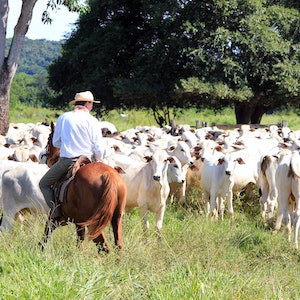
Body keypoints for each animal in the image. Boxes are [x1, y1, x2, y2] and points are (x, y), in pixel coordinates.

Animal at [40, 122, 127, 253]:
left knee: (104, 247)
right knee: (118, 245)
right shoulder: (78, 223)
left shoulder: (57, 217)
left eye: (49, 138)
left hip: (93, 223)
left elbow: (47, 233)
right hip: (116, 219)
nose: (43, 156)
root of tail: (108, 175)